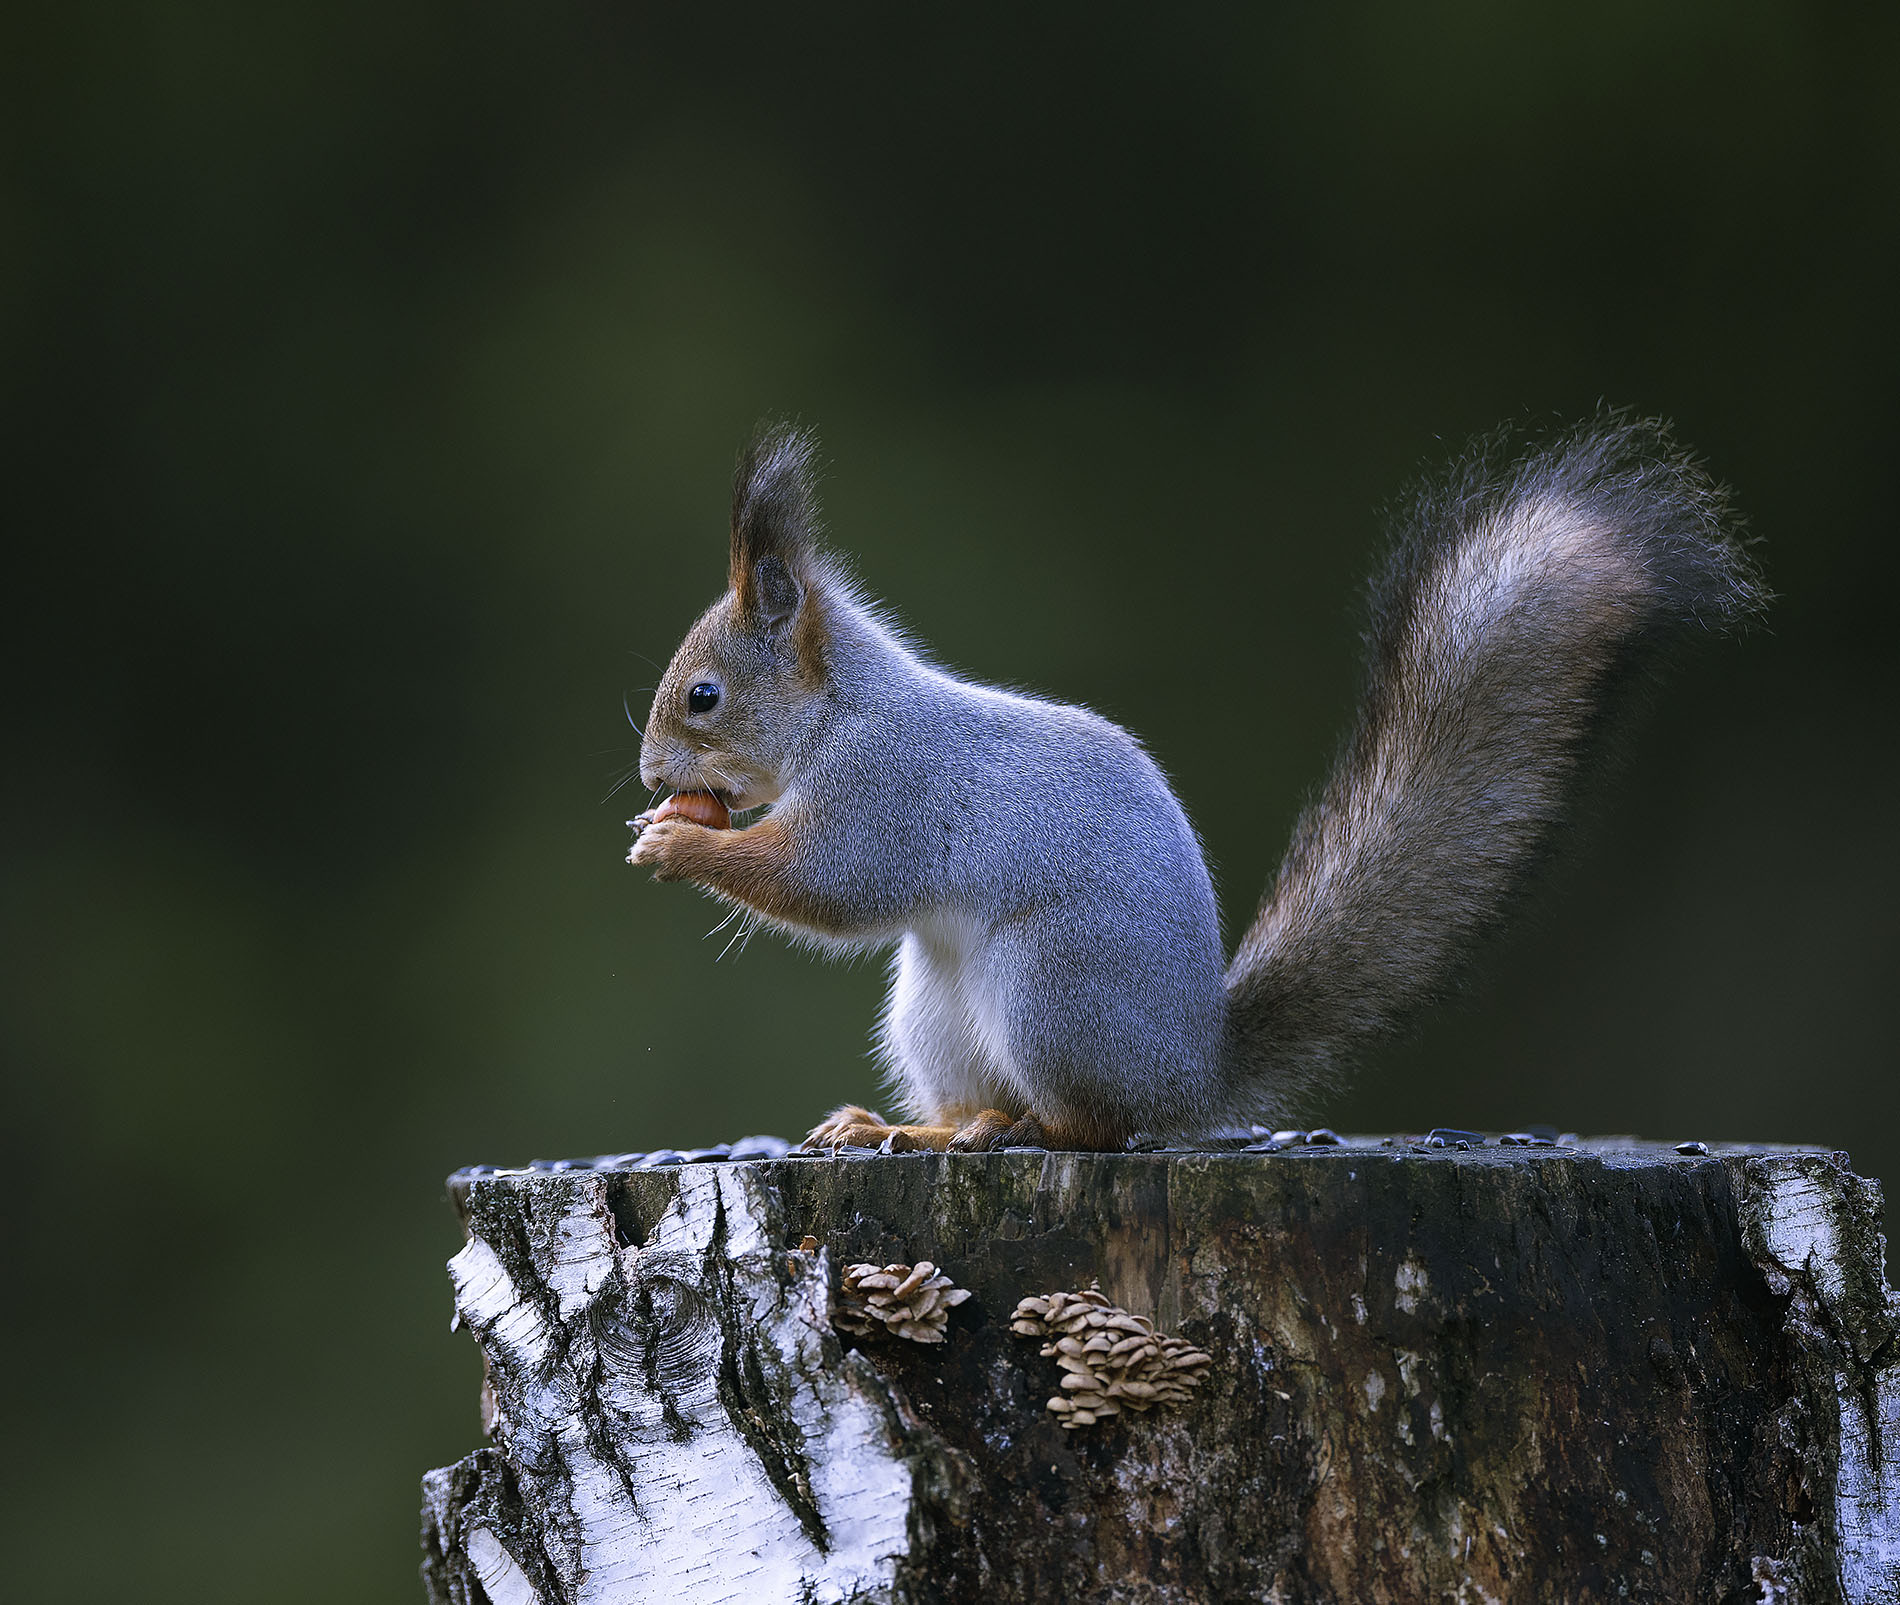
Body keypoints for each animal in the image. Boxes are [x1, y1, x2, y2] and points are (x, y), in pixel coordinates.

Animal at [627, 414, 1763, 1154]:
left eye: (703, 697)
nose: (648, 774)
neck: (839, 714)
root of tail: (1191, 1072)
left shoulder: (885, 791)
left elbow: (829, 886)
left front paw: (678, 842)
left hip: (1051, 984)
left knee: (1094, 1128)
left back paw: (999, 1131)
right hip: (933, 1010)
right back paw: (901, 1129)